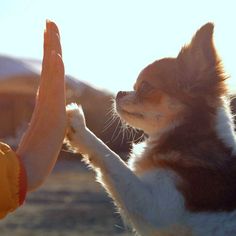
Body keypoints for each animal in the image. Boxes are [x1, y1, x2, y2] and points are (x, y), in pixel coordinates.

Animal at [65, 23, 236, 235]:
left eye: (145, 86)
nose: (119, 93)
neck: (186, 136)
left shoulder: (155, 209)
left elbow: (112, 159)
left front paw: (79, 125)